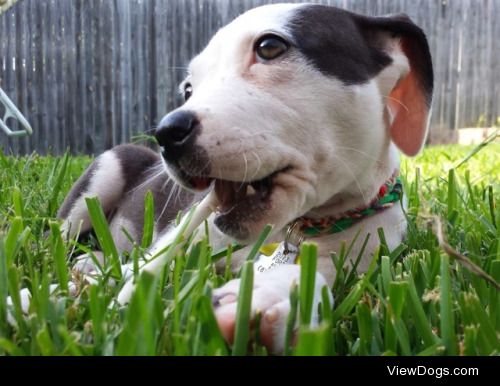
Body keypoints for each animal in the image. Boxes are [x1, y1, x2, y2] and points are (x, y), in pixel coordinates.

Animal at [57, 3, 434, 354]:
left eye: (269, 47)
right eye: (188, 89)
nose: (166, 133)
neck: (291, 229)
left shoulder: (363, 257)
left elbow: (316, 276)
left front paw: (263, 297)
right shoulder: (173, 239)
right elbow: (138, 273)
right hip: (102, 176)